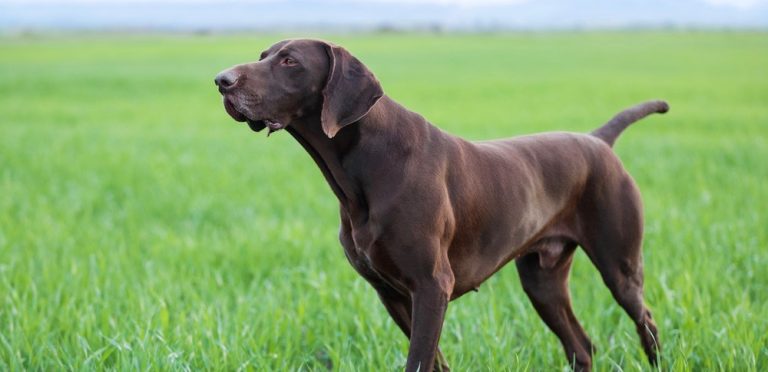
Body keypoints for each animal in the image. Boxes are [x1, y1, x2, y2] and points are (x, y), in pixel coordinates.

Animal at [214, 39, 664, 370]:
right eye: (262, 56)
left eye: (289, 61)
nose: (221, 80)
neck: (366, 164)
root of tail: (598, 140)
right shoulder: (393, 293)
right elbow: (434, 362)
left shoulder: (432, 285)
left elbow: (419, 360)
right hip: (543, 281)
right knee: (581, 346)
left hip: (620, 267)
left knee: (647, 323)